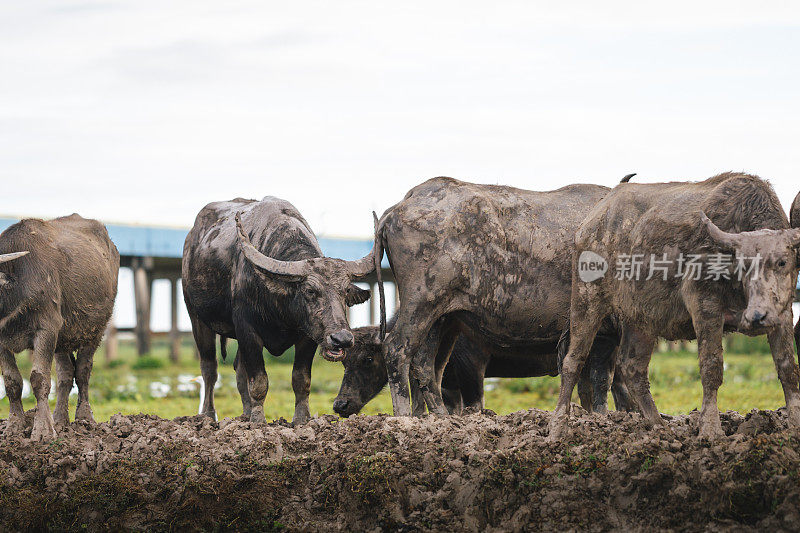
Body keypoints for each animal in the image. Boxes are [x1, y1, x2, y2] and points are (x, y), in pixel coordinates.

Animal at [0, 214, 119, 438]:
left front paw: (43, 430)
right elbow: (12, 382)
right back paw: (60, 420)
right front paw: (14, 426)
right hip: (63, 340)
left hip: (95, 331)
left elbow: (39, 379)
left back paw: (84, 417)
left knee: (83, 372)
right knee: (65, 375)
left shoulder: (46, 330)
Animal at [183, 195, 376, 424]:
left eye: (345, 291)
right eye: (310, 290)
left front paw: (301, 419)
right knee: (209, 369)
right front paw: (258, 421)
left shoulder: (309, 336)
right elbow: (258, 381)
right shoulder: (247, 330)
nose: (341, 339)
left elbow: (301, 380)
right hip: (196, 316)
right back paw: (208, 415)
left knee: (238, 369)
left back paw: (245, 414)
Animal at [332, 316, 632, 416]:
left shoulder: (472, 366)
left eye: (367, 359)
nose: (340, 404)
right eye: (344, 361)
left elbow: (475, 405)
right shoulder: (448, 384)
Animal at [372, 176, 628, 416]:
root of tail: (401, 206)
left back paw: (438, 417)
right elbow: (606, 383)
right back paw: (405, 415)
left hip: (442, 318)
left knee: (425, 363)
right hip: (420, 304)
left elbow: (592, 385)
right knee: (397, 349)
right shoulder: (607, 334)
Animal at [552, 172, 800, 438]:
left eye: (782, 262)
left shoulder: (783, 314)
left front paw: (795, 425)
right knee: (573, 360)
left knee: (632, 367)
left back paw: (660, 427)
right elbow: (712, 367)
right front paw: (710, 429)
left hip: (641, 317)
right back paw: (557, 428)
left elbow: (787, 367)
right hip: (587, 298)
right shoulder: (705, 307)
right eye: (743, 265)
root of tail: (590, 223)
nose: (757, 317)